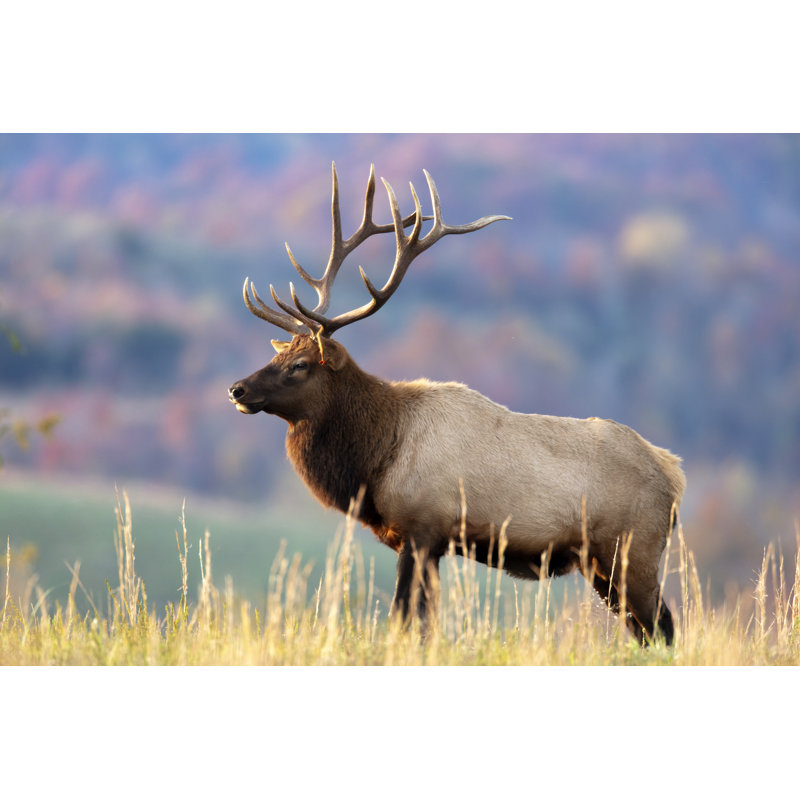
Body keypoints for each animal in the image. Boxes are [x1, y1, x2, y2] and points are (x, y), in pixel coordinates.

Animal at [228, 163, 685, 645]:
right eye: (277, 355)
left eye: (299, 365)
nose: (238, 389)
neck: (377, 459)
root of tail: (674, 475)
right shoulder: (430, 543)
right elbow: (423, 623)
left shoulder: (423, 527)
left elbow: (404, 617)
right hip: (601, 564)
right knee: (648, 630)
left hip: (633, 548)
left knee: (663, 626)